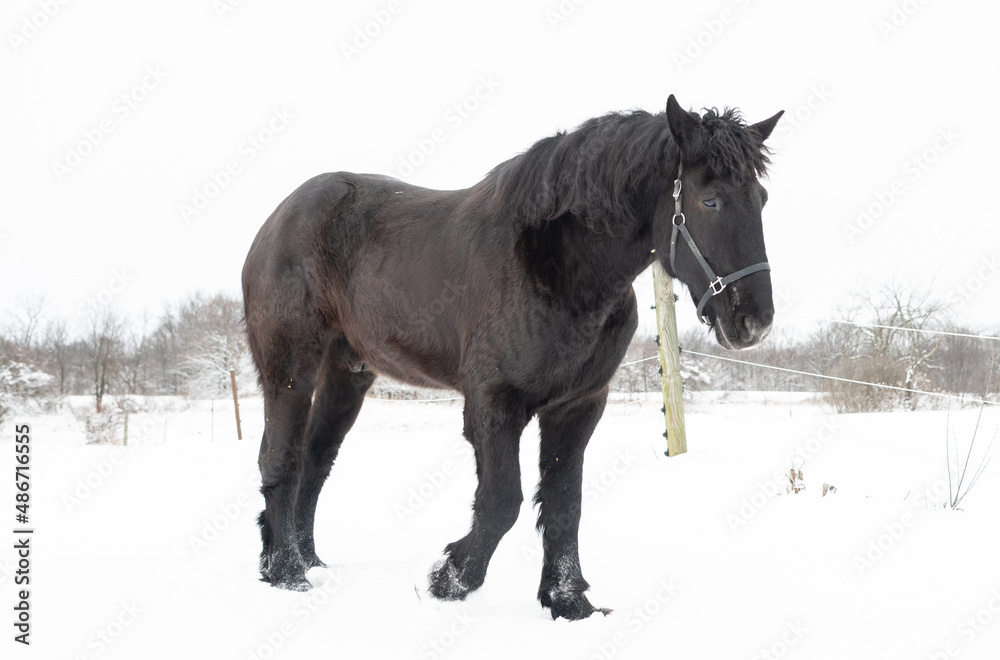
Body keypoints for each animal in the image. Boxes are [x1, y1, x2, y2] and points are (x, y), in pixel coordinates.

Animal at [241, 94, 783, 620]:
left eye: (761, 199)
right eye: (709, 200)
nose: (753, 321)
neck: (562, 268)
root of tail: (279, 218)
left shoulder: (577, 406)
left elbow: (565, 505)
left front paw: (569, 603)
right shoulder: (493, 402)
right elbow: (503, 501)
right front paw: (449, 580)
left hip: (347, 374)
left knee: (316, 462)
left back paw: (307, 561)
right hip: (289, 368)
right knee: (280, 460)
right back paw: (286, 573)